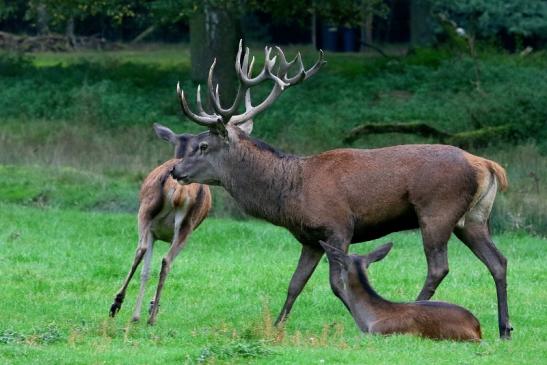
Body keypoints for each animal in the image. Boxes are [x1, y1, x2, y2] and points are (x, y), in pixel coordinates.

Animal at [110, 123, 213, 324]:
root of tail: (180, 190)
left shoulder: (153, 231)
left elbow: (145, 270)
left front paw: (137, 313)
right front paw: (149, 307)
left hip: (145, 211)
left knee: (142, 250)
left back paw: (118, 304)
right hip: (185, 227)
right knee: (166, 261)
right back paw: (151, 317)